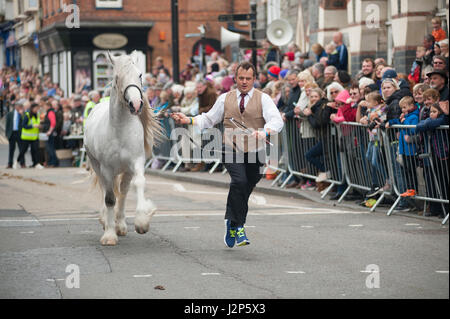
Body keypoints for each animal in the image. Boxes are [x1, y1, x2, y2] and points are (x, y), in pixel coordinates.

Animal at [84, 52, 162, 248]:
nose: (136, 104)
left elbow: (139, 183)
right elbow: (110, 198)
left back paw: (120, 224)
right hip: (97, 166)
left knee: (124, 192)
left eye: (140, 75)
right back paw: (107, 221)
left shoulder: (136, 162)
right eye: (117, 77)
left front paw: (141, 222)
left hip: (125, 171)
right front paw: (109, 235)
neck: (119, 129)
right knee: (106, 190)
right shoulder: (106, 168)